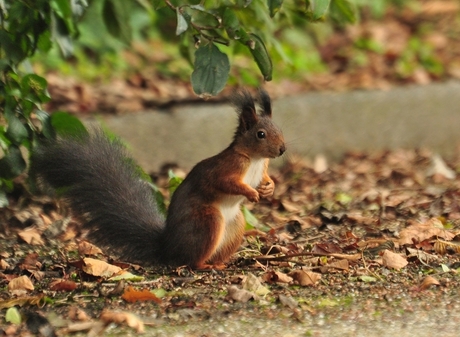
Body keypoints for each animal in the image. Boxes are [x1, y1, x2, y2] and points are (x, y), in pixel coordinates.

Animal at [30, 88, 284, 268]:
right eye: (260, 134)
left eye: (280, 130)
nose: (282, 149)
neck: (255, 159)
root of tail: (168, 247)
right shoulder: (227, 167)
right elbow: (224, 182)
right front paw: (250, 192)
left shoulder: (262, 168)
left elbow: (265, 179)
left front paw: (268, 188)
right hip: (207, 221)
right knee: (190, 261)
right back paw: (205, 265)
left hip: (235, 225)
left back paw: (223, 262)